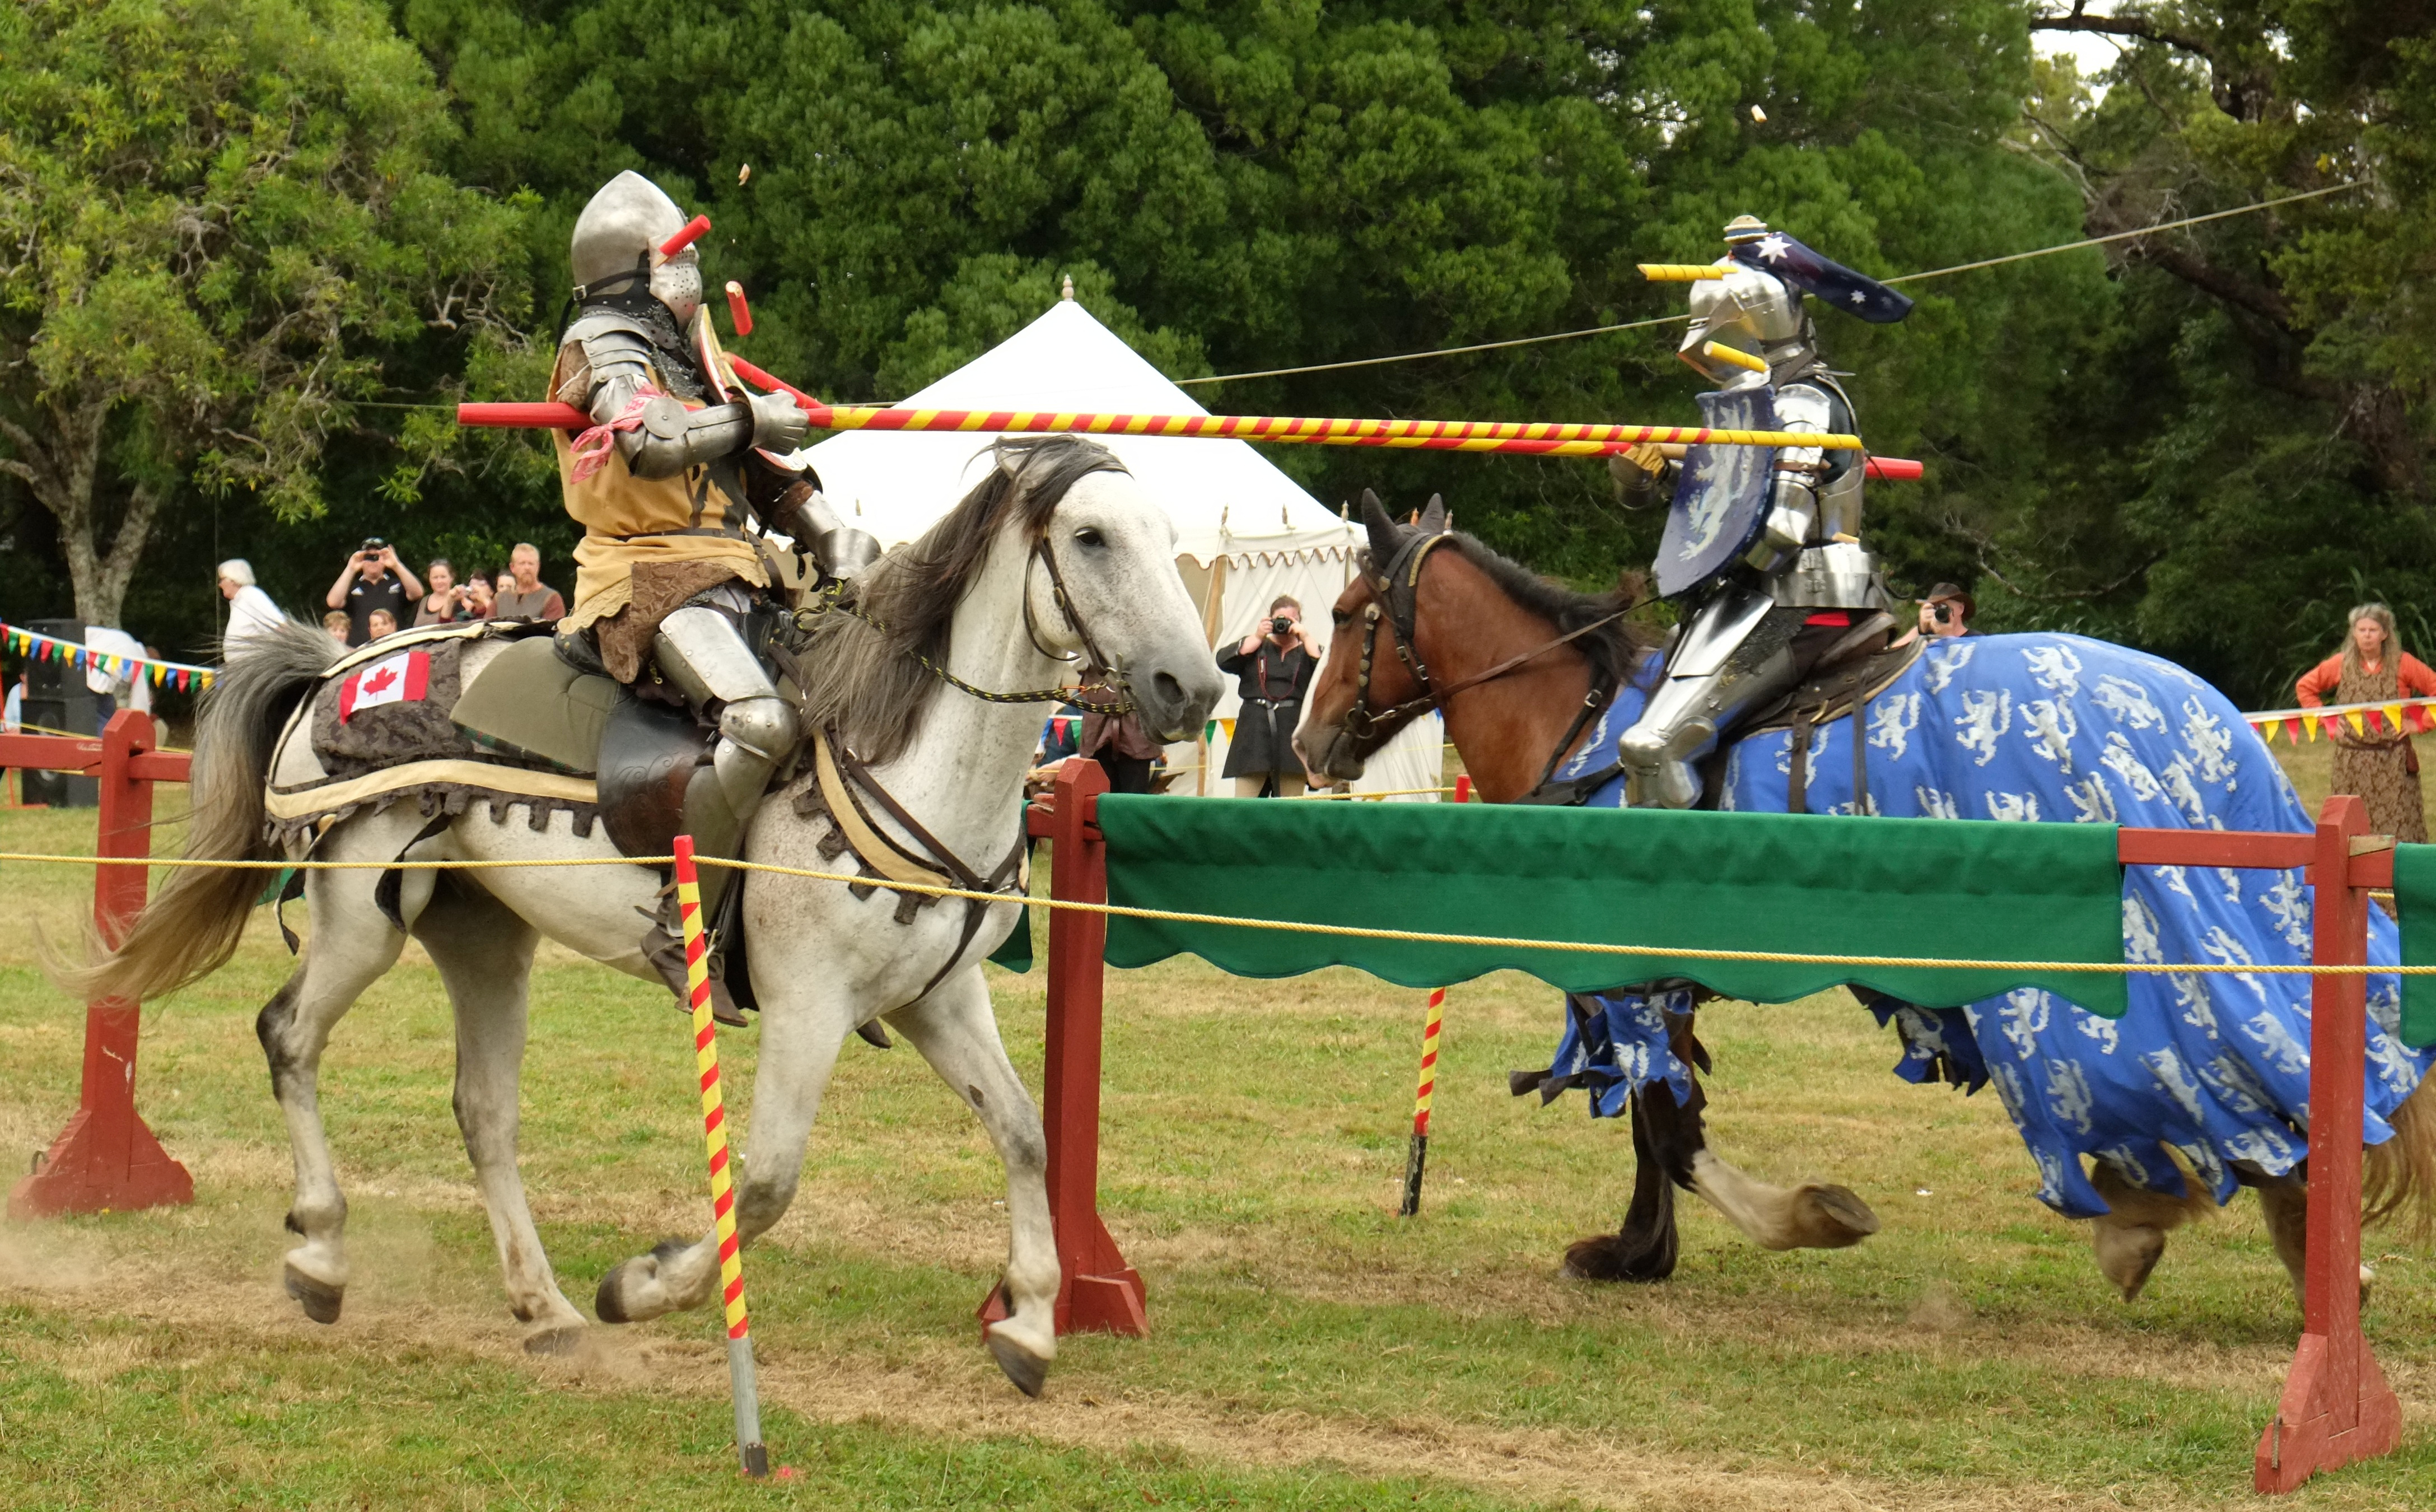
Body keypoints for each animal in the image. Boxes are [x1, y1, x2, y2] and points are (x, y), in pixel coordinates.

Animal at [69, 436, 1228, 1392]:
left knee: (483, 1111)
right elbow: (765, 1183)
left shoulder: (940, 1000)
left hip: (484, 934)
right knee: (290, 1035)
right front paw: (645, 1285)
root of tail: (337, 668)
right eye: (1090, 537)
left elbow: (1026, 1135)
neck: (904, 753)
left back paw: (542, 1308)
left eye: (1170, 539)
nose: (1195, 687)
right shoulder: (809, 1005)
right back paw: (321, 1251)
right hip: (362, 913)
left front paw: (1029, 1324)